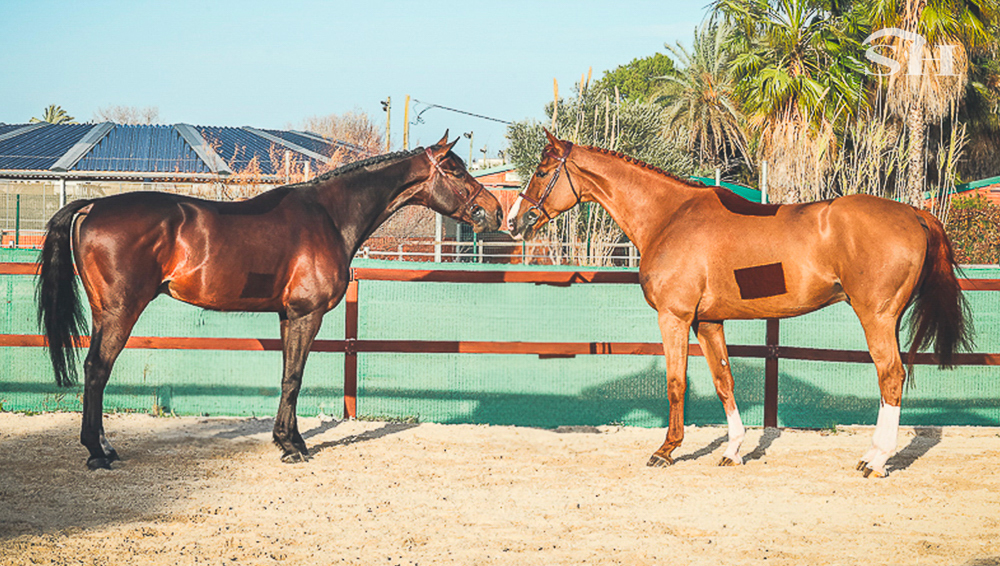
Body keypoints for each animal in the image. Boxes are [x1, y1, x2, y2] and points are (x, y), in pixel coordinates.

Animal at [39, 132, 504, 470]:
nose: (495, 211)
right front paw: (292, 446)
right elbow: (294, 378)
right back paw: (97, 453)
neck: (329, 216)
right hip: (121, 311)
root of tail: (91, 205)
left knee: (95, 371)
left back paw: (104, 447)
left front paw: (287, 438)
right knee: (97, 370)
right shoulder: (306, 315)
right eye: (456, 170)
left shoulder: (286, 315)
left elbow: (286, 375)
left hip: (105, 313)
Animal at [508, 132, 968, 480]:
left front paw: (666, 450)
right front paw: (732, 450)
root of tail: (915, 213)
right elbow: (723, 382)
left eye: (542, 171)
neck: (669, 217)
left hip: (876, 316)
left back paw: (876, 459)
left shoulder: (674, 318)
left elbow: (676, 383)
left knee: (890, 375)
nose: (514, 220)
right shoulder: (708, 322)